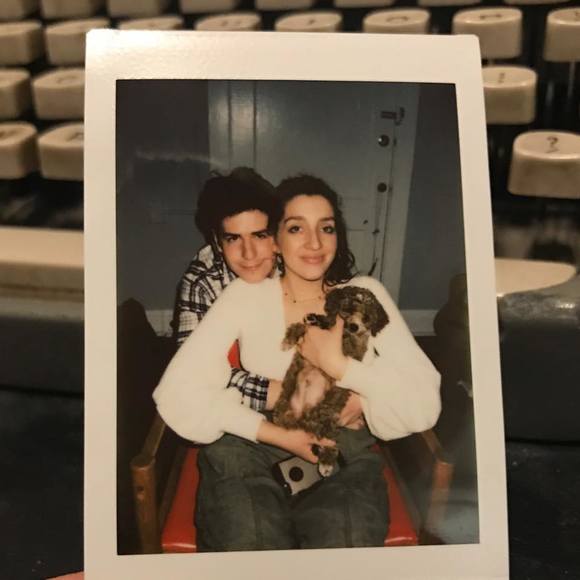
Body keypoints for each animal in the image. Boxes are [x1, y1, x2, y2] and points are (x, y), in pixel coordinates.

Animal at [273, 285, 389, 476]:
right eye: (347, 309)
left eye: (366, 317)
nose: (353, 326)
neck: (345, 333)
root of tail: (303, 417)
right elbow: (303, 325)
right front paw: (290, 339)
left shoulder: (354, 348)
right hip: (283, 410)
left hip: (329, 418)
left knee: (330, 442)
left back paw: (326, 462)